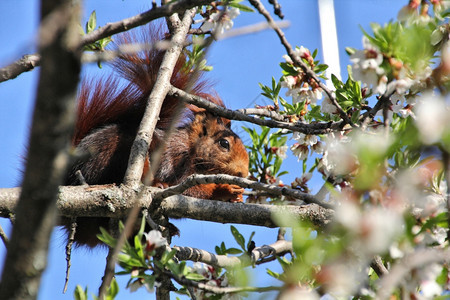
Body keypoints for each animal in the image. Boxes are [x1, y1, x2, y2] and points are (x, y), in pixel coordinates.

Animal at [61, 25, 248, 247]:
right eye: (224, 143)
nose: (244, 174)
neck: (191, 148)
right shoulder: (178, 160)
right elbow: (188, 190)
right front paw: (224, 190)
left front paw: (236, 196)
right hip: (110, 154)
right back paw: (153, 183)